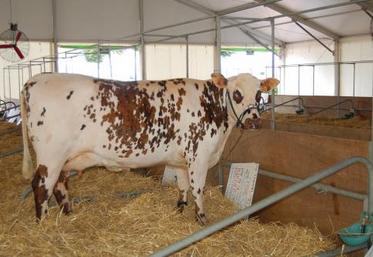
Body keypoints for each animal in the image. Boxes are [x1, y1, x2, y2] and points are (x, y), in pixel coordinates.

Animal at [19, 72, 276, 224]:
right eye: (237, 93)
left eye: (259, 94)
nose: (254, 121)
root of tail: (35, 79)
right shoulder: (199, 156)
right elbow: (198, 189)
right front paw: (202, 218)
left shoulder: (180, 159)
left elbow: (183, 186)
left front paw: (180, 209)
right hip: (51, 156)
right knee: (41, 186)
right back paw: (43, 223)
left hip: (65, 158)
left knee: (60, 184)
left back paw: (67, 213)